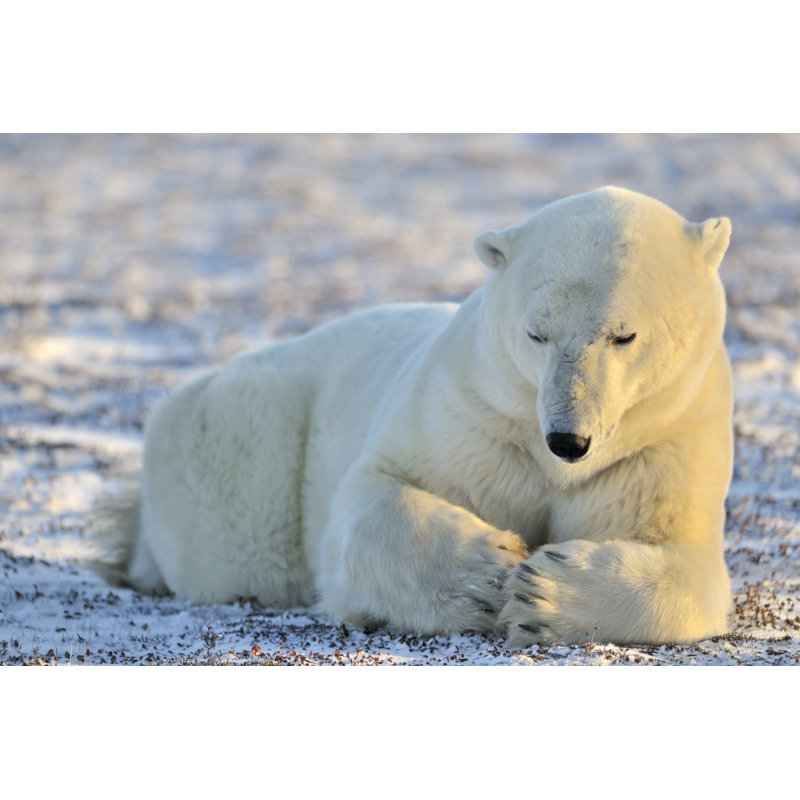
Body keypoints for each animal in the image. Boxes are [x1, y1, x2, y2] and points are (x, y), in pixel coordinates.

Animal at [98, 186, 734, 646]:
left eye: (623, 335)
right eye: (537, 333)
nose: (567, 440)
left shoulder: (667, 438)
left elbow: (691, 566)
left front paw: (543, 592)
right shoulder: (472, 414)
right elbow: (373, 494)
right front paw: (491, 573)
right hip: (243, 449)